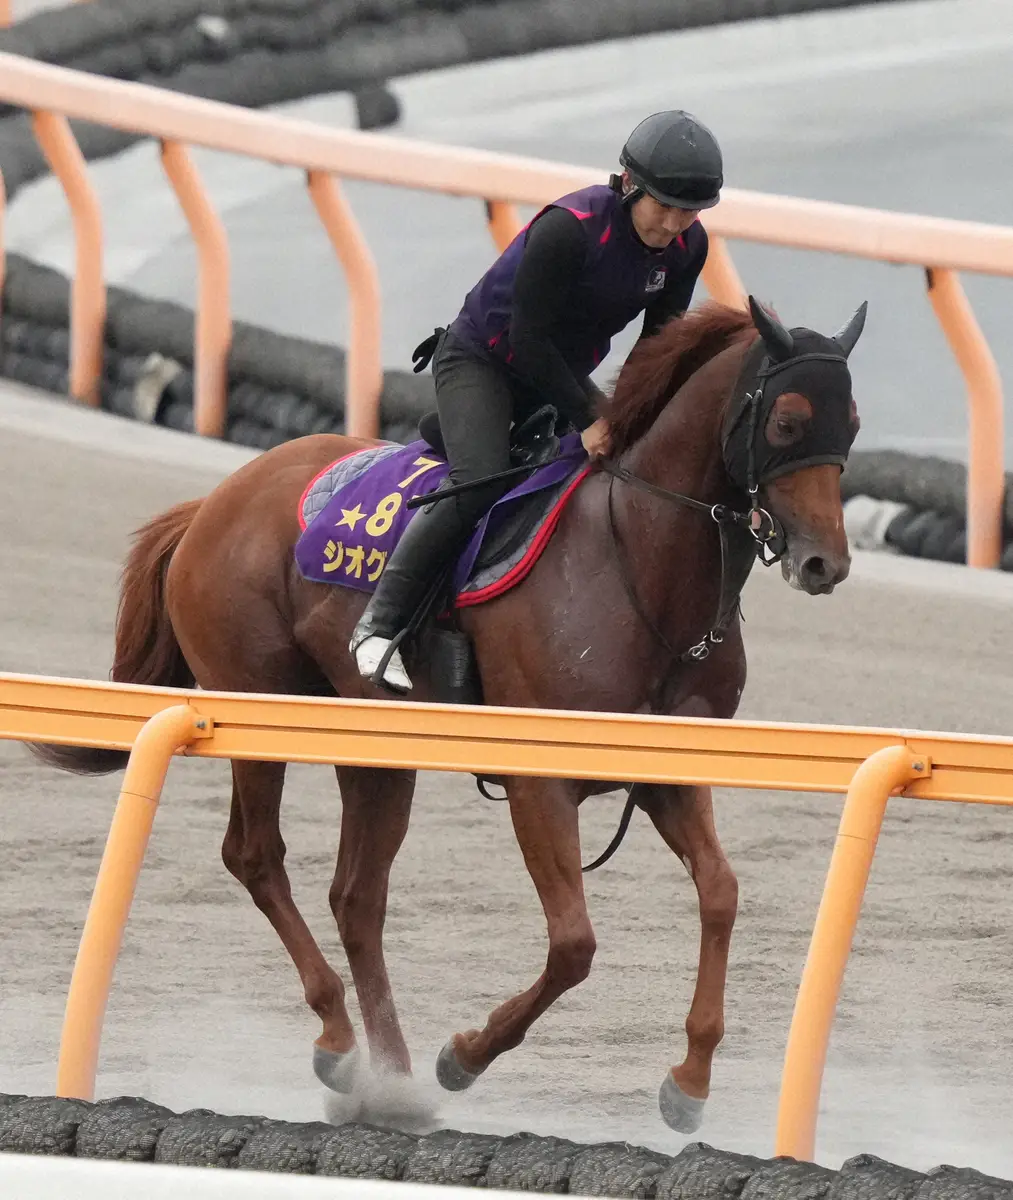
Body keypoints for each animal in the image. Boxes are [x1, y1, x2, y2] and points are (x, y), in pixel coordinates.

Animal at [35, 297, 868, 1132]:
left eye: (853, 424)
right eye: (788, 421)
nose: (823, 563)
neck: (636, 563)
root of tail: (212, 503)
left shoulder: (670, 772)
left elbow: (721, 895)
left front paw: (688, 1084)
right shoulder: (539, 784)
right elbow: (573, 945)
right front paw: (463, 1056)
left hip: (375, 749)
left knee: (356, 899)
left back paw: (391, 1078)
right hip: (255, 705)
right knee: (255, 856)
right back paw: (342, 1043)